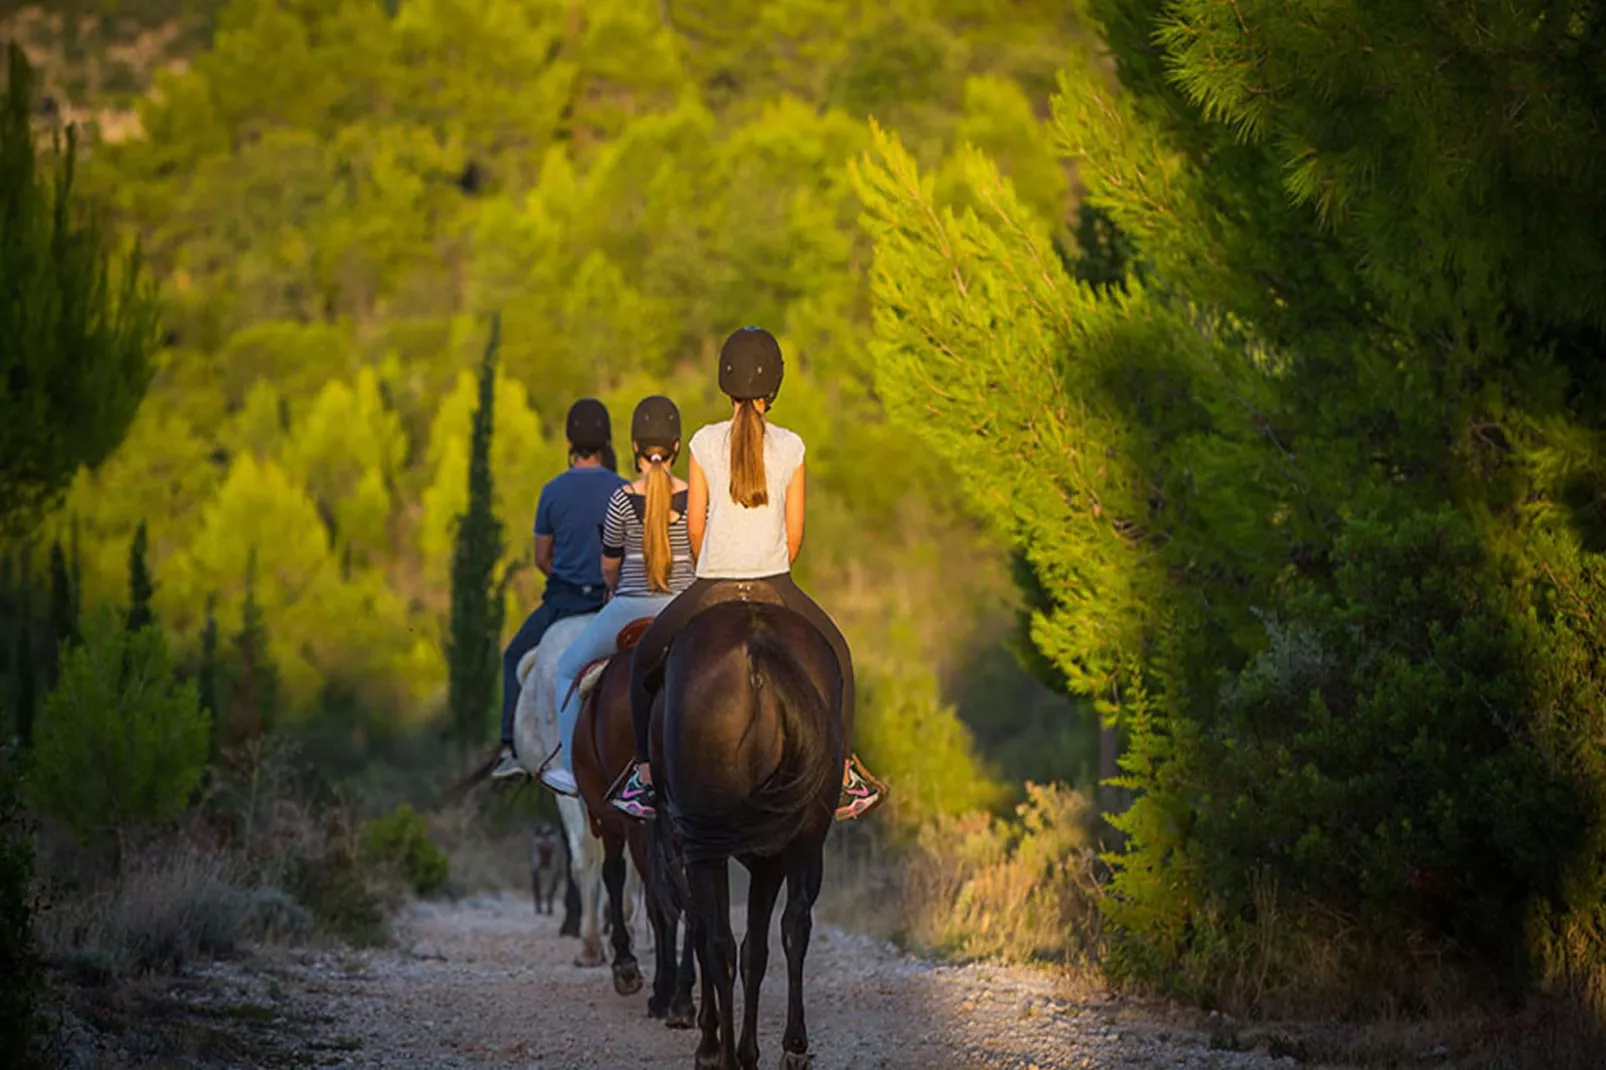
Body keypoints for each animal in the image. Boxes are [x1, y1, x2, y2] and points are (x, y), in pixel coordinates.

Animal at [648, 600, 847, 1066]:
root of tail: (759, 645)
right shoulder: (767, 861)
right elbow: (755, 950)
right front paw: (749, 1050)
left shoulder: (689, 850)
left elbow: (705, 933)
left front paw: (713, 1041)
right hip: (803, 840)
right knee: (793, 927)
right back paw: (794, 1046)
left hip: (703, 844)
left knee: (717, 942)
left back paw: (718, 1055)